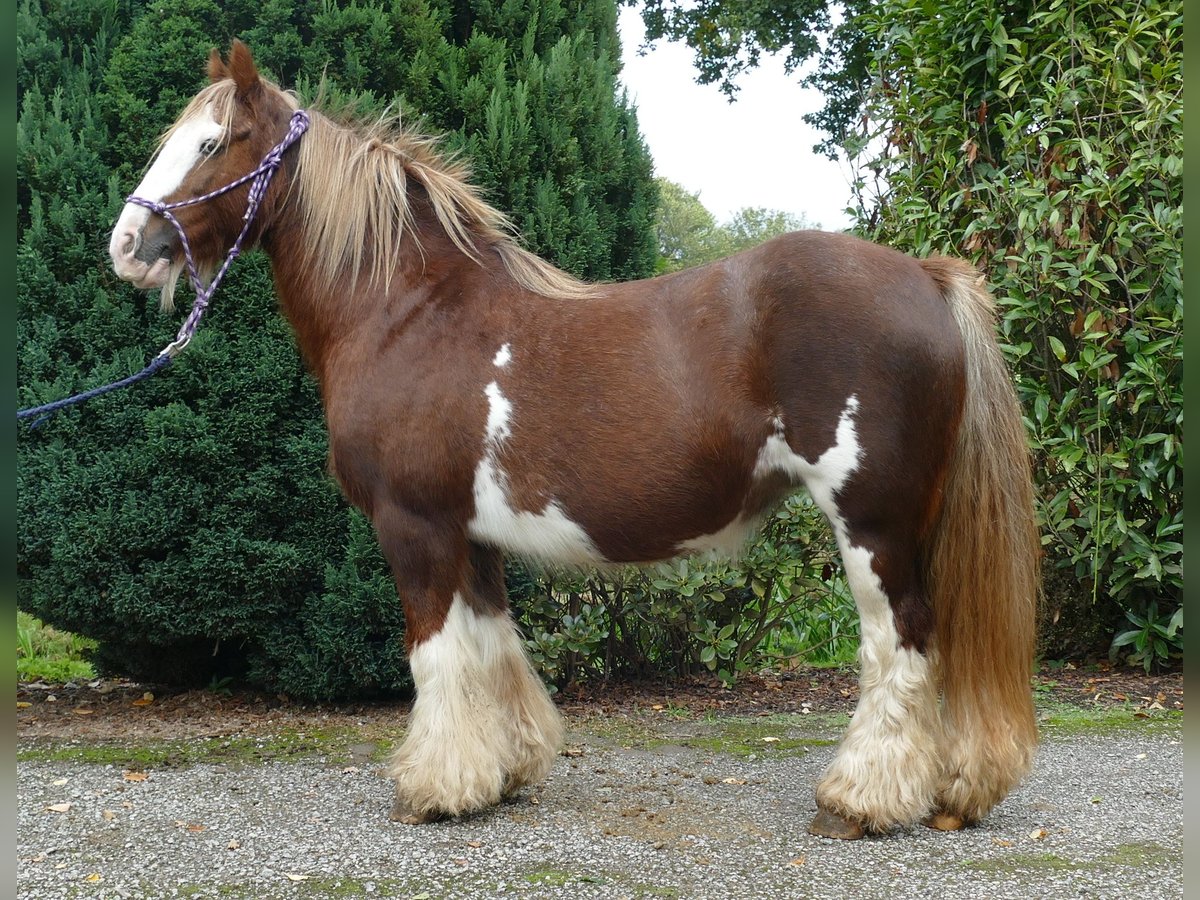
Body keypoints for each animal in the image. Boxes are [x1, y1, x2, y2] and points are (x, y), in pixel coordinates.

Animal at [105, 42, 1041, 844]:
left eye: (212, 142)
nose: (126, 246)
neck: (410, 313)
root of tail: (925, 275)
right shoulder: (471, 536)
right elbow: (491, 647)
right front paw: (505, 771)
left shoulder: (414, 527)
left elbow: (435, 657)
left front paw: (434, 788)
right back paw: (953, 791)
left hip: (871, 523)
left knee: (901, 645)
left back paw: (861, 799)